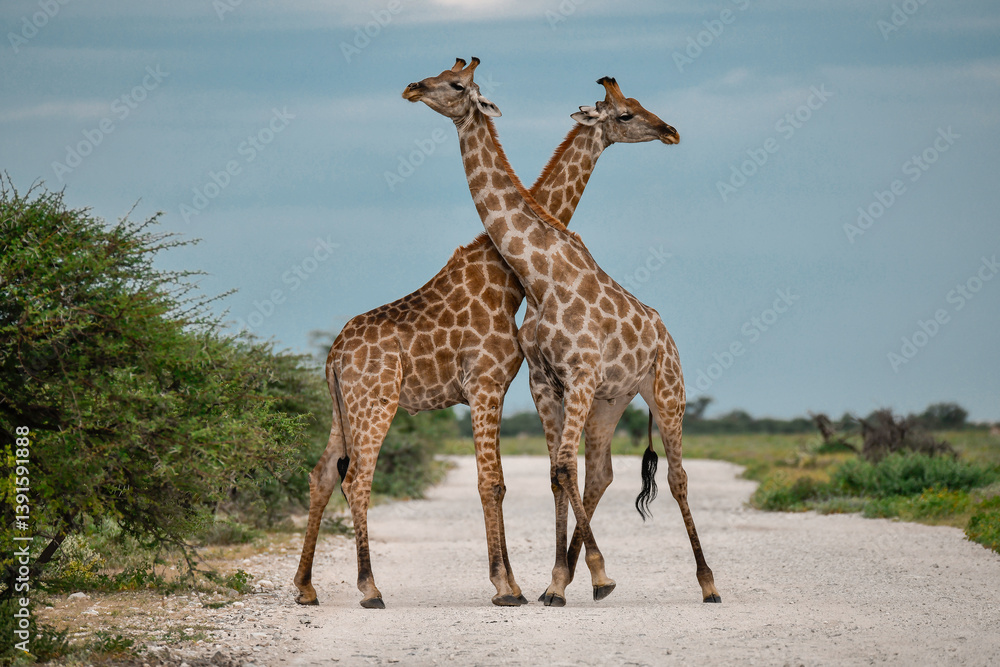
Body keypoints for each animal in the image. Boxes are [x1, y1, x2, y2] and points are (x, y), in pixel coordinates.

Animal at [293, 64, 678, 609]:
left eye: (454, 80)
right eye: (627, 114)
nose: (669, 130)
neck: (505, 276)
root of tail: (332, 355)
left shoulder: (500, 384)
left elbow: (508, 479)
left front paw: (521, 582)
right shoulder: (486, 383)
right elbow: (491, 481)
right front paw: (508, 586)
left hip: (339, 407)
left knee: (323, 474)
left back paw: (306, 587)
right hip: (375, 402)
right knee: (359, 479)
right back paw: (370, 588)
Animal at [404, 58, 721, 607]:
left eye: (456, 82)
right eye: (625, 112)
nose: (669, 130)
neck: (538, 276)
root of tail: (665, 333)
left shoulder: (576, 375)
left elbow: (560, 469)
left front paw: (591, 575)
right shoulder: (545, 382)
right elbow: (556, 472)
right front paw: (558, 581)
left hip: (665, 390)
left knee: (677, 475)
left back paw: (708, 583)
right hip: (611, 400)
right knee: (601, 472)